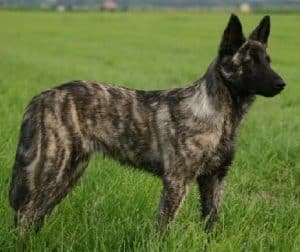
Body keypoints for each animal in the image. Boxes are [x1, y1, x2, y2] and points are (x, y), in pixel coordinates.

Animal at [8, 14, 286, 234]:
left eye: (268, 60)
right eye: (248, 62)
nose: (282, 84)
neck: (219, 113)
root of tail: (42, 96)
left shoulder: (214, 180)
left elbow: (212, 224)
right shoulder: (177, 182)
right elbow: (163, 229)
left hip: (69, 174)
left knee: (36, 215)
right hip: (52, 170)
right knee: (25, 215)